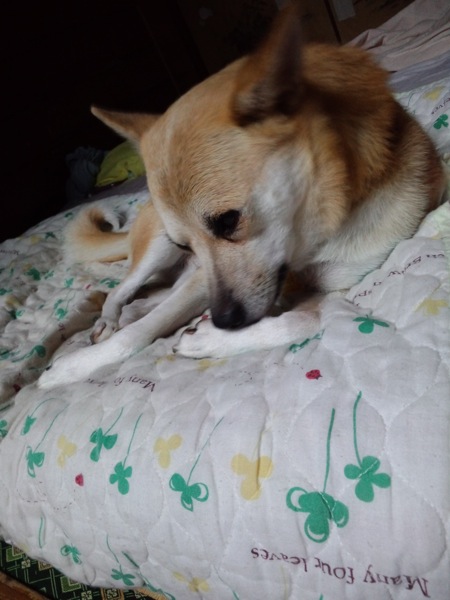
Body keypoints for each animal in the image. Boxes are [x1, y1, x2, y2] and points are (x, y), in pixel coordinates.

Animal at [38, 6, 445, 389]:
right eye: (185, 243)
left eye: (229, 220)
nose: (224, 321)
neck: (306, 242)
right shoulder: (205, 279)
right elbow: (138, 334)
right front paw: (73, 368)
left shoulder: (330, 288)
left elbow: (303, 321)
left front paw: (209, 339)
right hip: (156, 250)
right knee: (122, 291)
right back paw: (110, 320)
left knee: (154, 296)